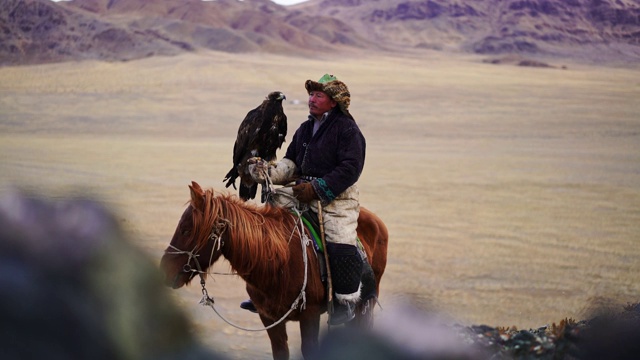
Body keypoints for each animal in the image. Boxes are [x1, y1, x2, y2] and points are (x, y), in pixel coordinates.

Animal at [160, 183, 390, 360]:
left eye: (186, 230)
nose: (164, 271)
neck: (279, 262)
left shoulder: (310, 315)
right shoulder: (269, 318)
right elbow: (280, 352)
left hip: (364, 304)